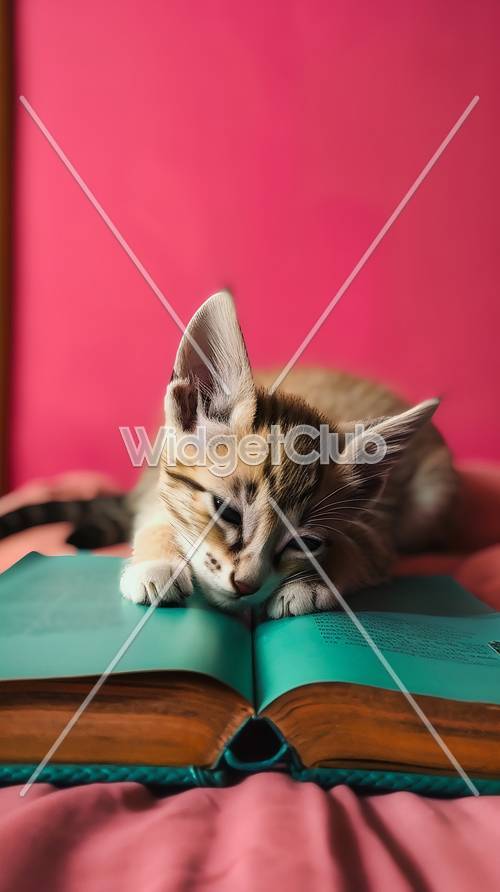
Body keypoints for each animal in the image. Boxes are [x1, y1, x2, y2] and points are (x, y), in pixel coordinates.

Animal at [120, 290, 458, 616]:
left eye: (306, 543)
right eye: (226, 512)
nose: (246, 585)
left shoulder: (376, 534)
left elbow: (353, 552)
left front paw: (310, 584)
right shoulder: (153, 483)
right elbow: (157, 517)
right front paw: (156, 562)